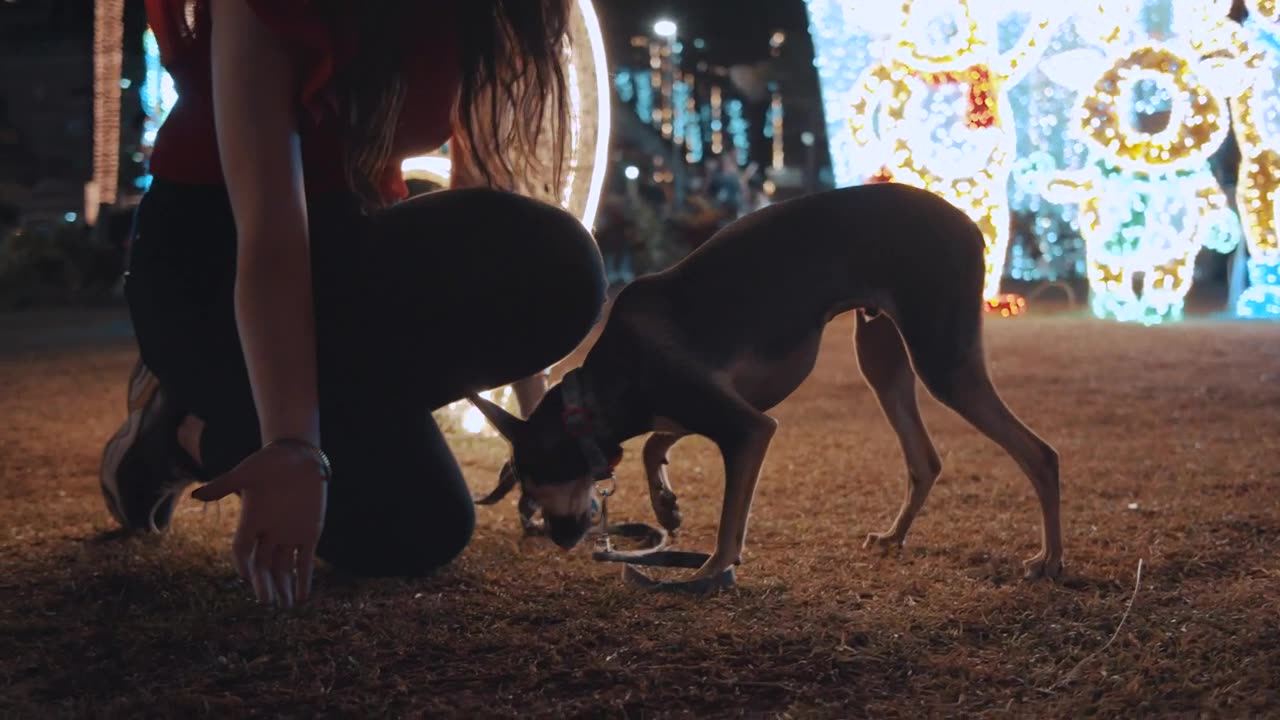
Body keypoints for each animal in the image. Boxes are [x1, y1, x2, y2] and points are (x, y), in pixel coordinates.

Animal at [476, 180, 1064, 584]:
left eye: (539, 482)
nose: (560, 539)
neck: (598, 391)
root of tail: (967, 221)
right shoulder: (720, 406)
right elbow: (656, 443)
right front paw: (666, 504)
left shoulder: (749, 427)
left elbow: (727, 522)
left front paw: (712, 571)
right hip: (881, 357)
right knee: (925, 459)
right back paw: (895, 536)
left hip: (942, 361)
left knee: (1040, 454)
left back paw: (1050, 560)